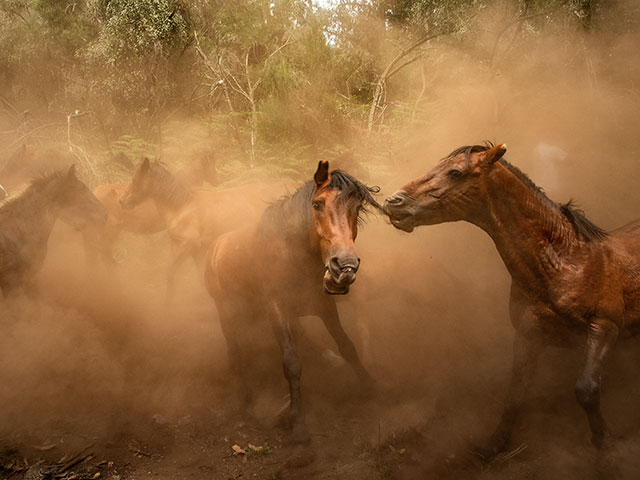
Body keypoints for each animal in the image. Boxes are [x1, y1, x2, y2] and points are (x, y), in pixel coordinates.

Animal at [208, 163, 382, 444]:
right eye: (317, 204)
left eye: (356, 208)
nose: (344, 265)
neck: (294, 254)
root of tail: (216, 245)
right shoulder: (276, 309)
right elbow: (292, 363)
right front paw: (298, 423)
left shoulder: (324, 308)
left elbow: (347, 346)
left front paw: (370, 386)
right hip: (227, 312)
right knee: (235, 351)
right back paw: (246, 399)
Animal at [384, 143, 640, 458]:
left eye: (455, 172)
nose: (393, 201)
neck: (566, 263)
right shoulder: (529, 335)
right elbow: (515, 394)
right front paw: (495, 444)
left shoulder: (604, 328)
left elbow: (586, 389)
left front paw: (605, 442)